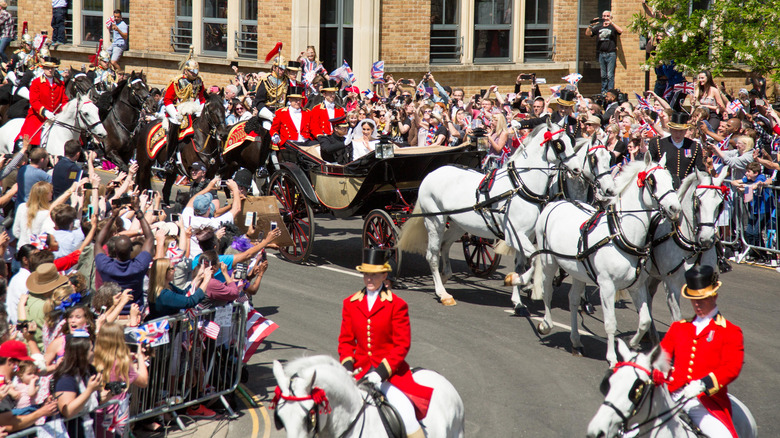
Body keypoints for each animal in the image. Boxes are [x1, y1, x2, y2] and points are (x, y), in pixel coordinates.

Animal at [400, 118, 580, 306]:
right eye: (559, 144)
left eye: (572, 141)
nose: (577, 170)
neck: (520, 186)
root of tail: (432, 173)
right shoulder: (516, 235)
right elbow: (534, 260)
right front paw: (518, 281)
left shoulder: (526, 236)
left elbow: (521, 265)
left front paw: (517, 299)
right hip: (435, 221)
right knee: (432, 255)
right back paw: (443, 293)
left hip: (459, 224)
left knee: (444, 245)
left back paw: (444, 278)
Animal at [520, 156, 680, 364]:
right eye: (652, 181)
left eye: (671, 179)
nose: (675, 208)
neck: (621, 235)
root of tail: (556, 203)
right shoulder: (607, 286)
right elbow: (610, 323)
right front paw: (612, 357)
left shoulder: (636, 286)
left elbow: (645, 320)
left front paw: (631, 344)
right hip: (549, 261)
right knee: (547, 291)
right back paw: (546, 325)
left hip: (578, 271)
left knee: (573, 300)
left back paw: (576, 341)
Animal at [644, 169, 732, 324]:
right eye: (698, 202)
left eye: (720, 204)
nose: (706, 239)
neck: (693, 246)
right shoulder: (671, 286)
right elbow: (677, 317)